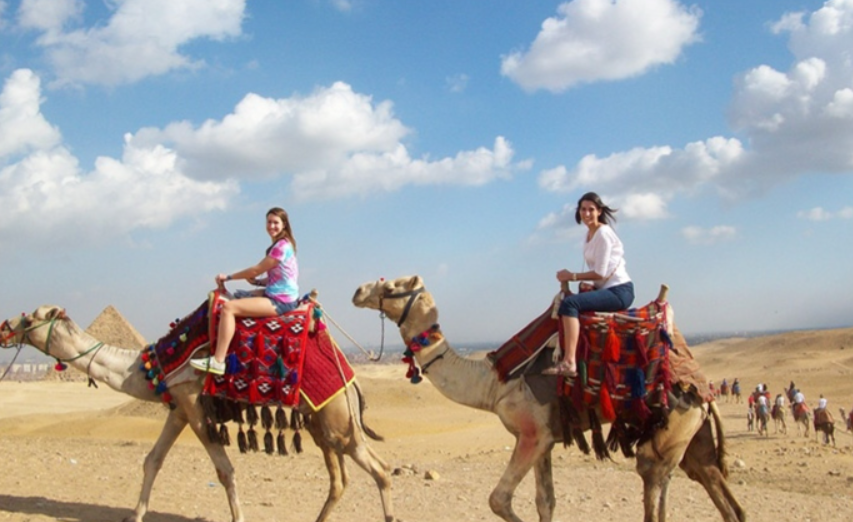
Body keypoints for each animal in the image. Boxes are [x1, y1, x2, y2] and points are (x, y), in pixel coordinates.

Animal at [0, 304, 394, 522]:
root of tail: (352, 380)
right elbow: (152, 460)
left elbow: (225, 470)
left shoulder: (193, 403)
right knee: (340, 480)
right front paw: (134, 515)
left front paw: (239, 517)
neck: (147, 366)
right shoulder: (177, 408)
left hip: (339, 420)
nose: (5, 327)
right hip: (323, 425)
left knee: (381, 470)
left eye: (30, 318)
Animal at [352, 275, 745, 522]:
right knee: (712, 483)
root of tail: (703, 387)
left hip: (673, 424)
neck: (493, 381)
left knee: (652, 474)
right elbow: (546, 502)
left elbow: (498, 499)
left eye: (393, 284)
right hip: (691, 431)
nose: (358, 290)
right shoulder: (545, 439)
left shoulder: (532, 433)